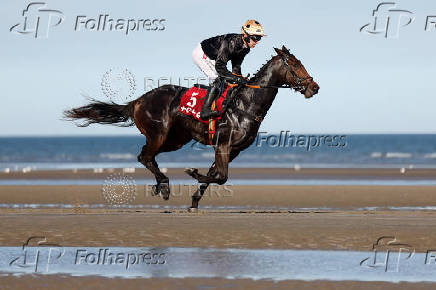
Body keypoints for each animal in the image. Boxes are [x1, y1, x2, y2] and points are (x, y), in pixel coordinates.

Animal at [63, 44, 318, 208]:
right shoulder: (222, 145)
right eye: (295, 64)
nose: (314, 87)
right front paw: (193, 173)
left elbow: (215, 174)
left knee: (148, 157)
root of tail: (138, 101)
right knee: (144, 156)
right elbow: (221, 177)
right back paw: (164, 185)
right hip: (159, 133)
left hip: (175, 140)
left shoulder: (233, 150)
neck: (245, 104)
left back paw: (159, 185)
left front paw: (194, 200)